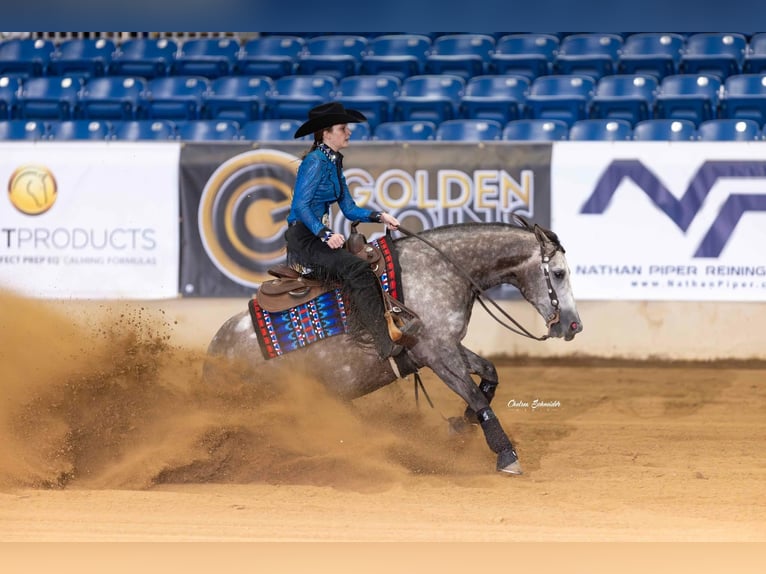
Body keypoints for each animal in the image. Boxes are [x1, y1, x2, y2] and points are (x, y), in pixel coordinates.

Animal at [205, 218, 583, 475]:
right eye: (559, 273)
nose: (573, 325)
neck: (438, 270)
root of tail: (216, 351)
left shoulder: (442, 346)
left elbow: (489, 375)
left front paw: (462, 424)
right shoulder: (438, 353)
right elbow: (476, 396)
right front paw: (505, 455)